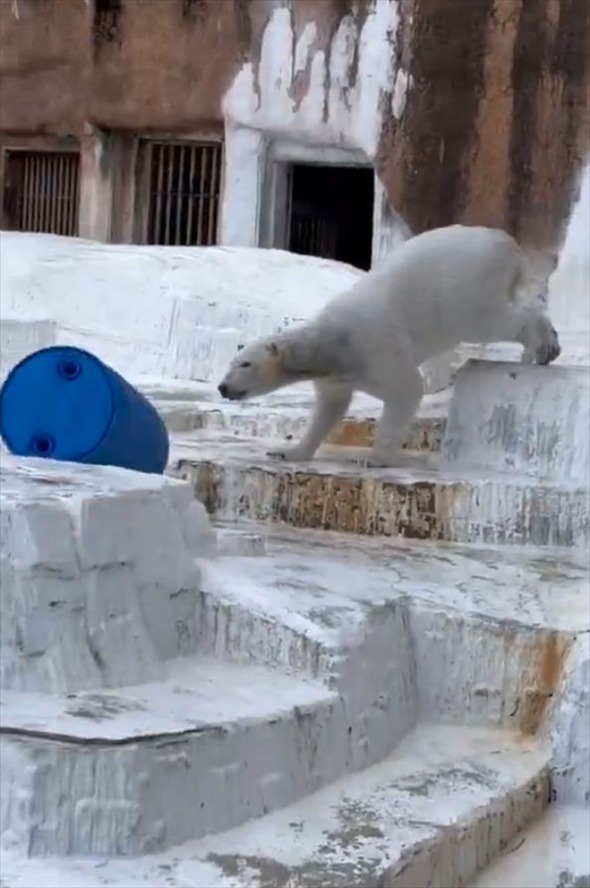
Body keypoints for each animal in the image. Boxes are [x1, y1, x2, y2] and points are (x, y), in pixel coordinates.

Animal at [220, 225, 560, 468]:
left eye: (245, 364)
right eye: (231, 362)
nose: (223, 387)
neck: (332, 343)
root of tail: (506, 242)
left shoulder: (373, 347)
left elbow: (406, 387)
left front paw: (373, 458)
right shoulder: (335, 374)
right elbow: (330, 407)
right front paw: (289, 451)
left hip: (464, 287)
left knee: (492, 319)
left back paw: (540, 346)